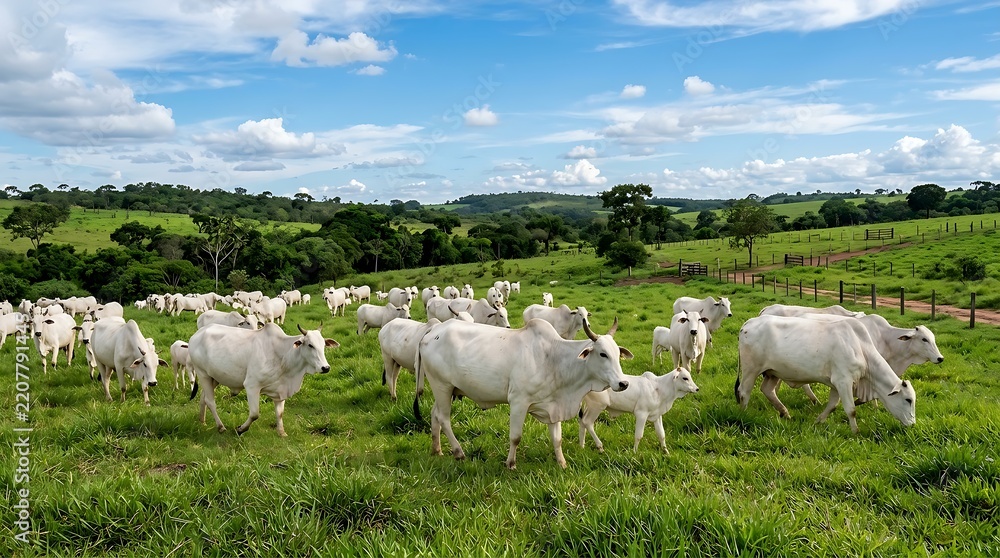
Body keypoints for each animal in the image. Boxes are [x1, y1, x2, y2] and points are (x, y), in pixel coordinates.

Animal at [188, 323, 339, 436]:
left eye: (323, 345)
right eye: (310, 345)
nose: (325, 367)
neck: (283, 356)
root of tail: (197, 334)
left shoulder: (280, 391)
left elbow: (280, 413)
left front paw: (282, 433)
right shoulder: (252, 386)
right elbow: (255, 414)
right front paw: (240, 429)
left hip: (213, 377)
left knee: (203, 398)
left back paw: (202, 421)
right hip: (203, 374)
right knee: (210, 401)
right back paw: (220, 427)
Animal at [414, 317, 633, 469]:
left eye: (618, 354)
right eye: (603, 354)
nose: (623, 383)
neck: (553, 359)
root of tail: (434, 329)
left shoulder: (553, 405)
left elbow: (557, 439)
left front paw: (562, 463)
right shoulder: (519, 402)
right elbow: (515, 437)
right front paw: (510, 463)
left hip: (446, 390)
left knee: (435, 415)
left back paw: (437, 450)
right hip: (442, 386)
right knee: (444, 418)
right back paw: (458, 452)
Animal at [736, 315, 917, 434]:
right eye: (908, 400)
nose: (913, 424)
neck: (860, 347)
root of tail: (749, 322)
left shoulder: (837, 384)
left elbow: (832, 406)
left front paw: (818, 421)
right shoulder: (843, 381)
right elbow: (851, 409)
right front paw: (855, 432)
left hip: (772, 373)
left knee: (768, 390)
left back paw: (785, 413)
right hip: (751, 370)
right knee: (744, 392)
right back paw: (743, 414)